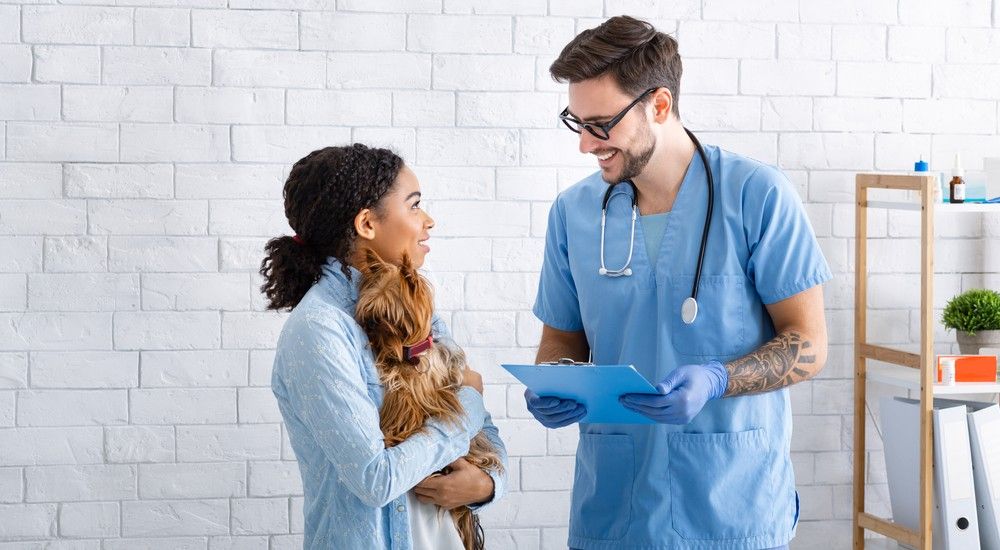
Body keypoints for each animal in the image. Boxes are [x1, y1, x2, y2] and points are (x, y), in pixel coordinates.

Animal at [356, 251, 504, 550]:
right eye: (369, 309)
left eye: (388, 315)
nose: (370, 324)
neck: (409, 354)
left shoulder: (428, 392)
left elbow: (408, 403)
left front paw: (393, 432)